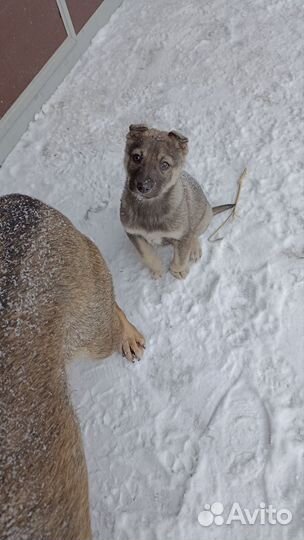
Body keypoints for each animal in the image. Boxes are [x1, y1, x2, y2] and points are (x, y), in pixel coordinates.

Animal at [120, 125, 234, 278]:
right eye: (136, 157)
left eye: (165, 165)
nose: (143, 187)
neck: (150, 205)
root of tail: (210, 209)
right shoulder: (134, 234)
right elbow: (147, 254)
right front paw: (157, 269)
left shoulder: (182, 236)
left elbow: (181, 256)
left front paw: (178, 270)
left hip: (204, 217)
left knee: (195, 233)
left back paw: (194, 249)